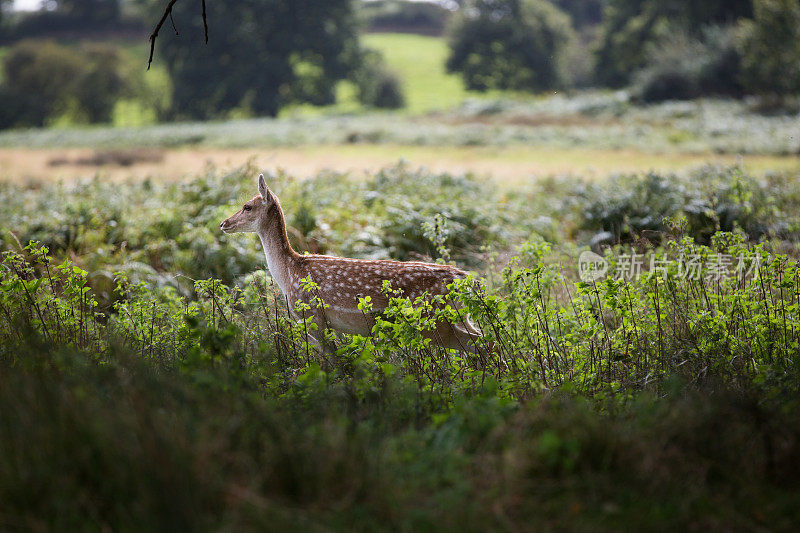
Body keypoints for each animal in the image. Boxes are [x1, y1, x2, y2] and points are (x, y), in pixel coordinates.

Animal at [219, 172, 482, 352]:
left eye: (247, 206)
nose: (223, 223)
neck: (289, 273)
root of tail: (465, 279)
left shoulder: (313, 317)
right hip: (459, 315)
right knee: (481, 334)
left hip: (434, 319)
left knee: (480, 342)